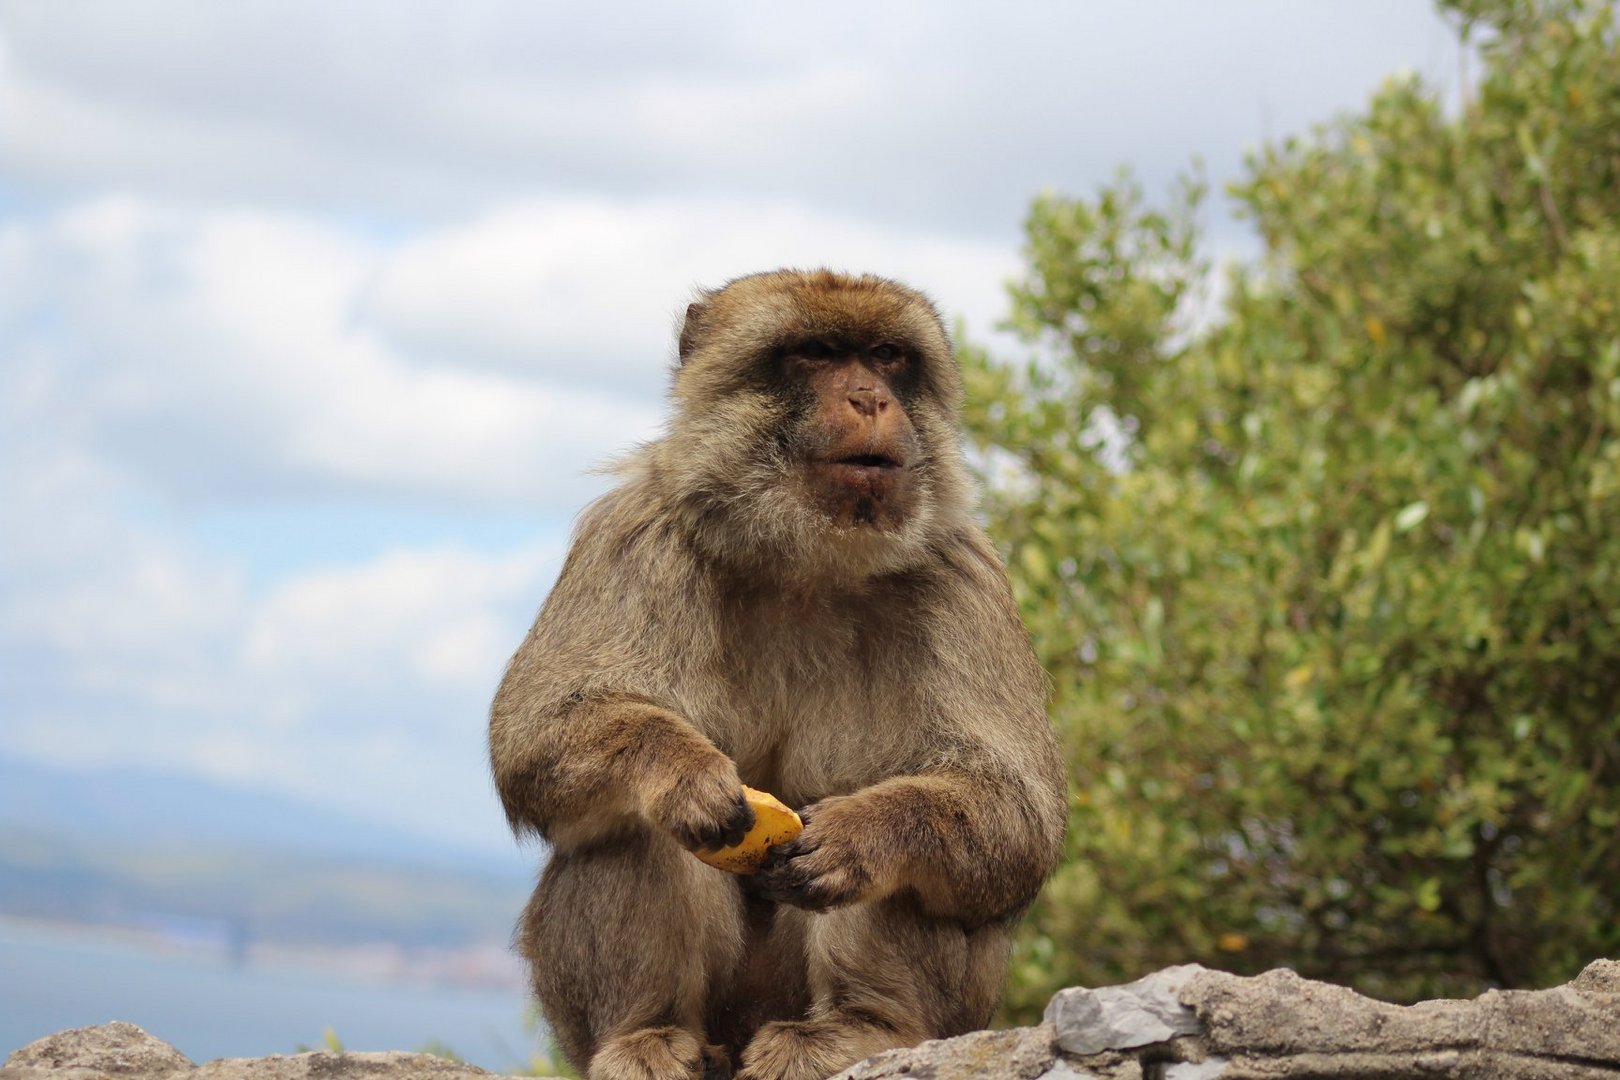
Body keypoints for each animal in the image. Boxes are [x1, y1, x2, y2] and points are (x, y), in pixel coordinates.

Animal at [492, 268, 1075, 1080]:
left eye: (888, 357)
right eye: (818, 353)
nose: (871, 399)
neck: (806, 557)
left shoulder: (965, 572)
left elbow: (1016, 812)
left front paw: (864, 836)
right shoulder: (634, 528)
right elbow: (536, 733)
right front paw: (681, 770)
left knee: (913, 872)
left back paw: (861, 1025)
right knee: (629, 829)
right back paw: (644, 1034)